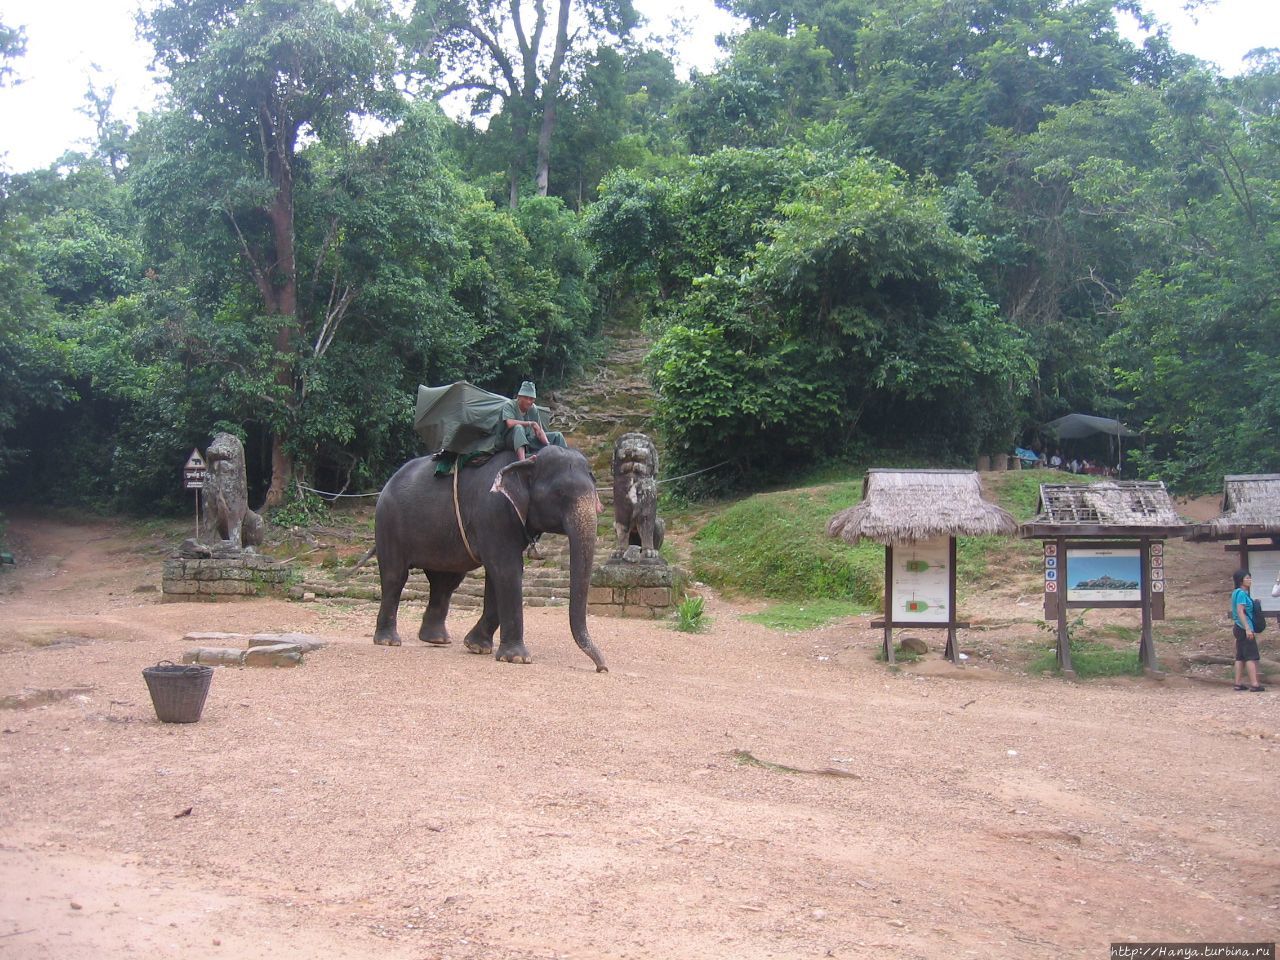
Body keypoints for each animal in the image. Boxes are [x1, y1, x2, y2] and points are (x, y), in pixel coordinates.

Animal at [371, 448, 609, 670]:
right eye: (560, 494)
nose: (602, 667)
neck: (528, 456)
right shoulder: (493, 510)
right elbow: (507, 569)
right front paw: (517, 659)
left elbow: (499, 575)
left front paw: (476, 646)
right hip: (388, 521)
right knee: (395, 576)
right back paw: (389, 641)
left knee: (446, 582)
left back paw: (437, 639)